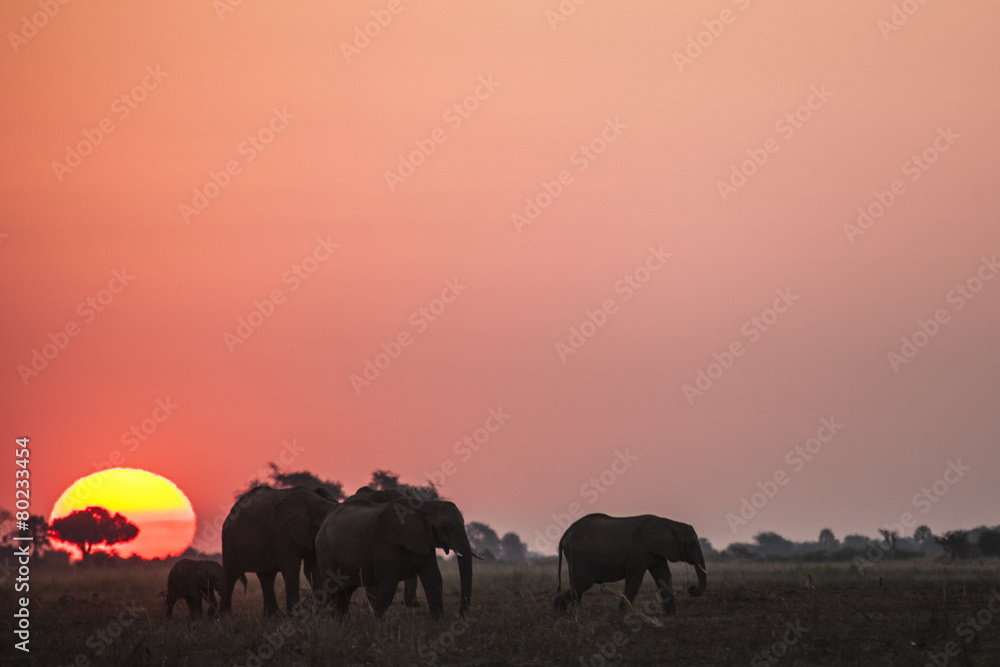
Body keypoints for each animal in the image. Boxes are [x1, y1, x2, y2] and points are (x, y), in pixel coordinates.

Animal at [220, 485, 339, 615]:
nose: (307, 602)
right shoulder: (282, 532)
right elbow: (291, 567)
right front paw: (294, 615)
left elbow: (313, 564)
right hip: (229, 538)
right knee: (231, 575)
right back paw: (225, 615)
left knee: (267, 576)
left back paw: (274, 616)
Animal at [314, 488, 481, 619]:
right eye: (444, 527)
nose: (461, 614)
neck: (423, 506)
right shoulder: (387, 542)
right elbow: (388, 581)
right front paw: (376, 625)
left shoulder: (423, 540)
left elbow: (433, 579)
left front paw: (439, 623)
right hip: (325, 548)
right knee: (330, 587)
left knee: (345, 590)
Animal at [554, 513, 707, 615]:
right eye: (692, 544)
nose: (692, 589)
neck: (669, 524)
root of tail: (564, 535)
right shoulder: (638, 552)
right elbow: (635, 580)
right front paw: (623, 613)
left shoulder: (655, 552)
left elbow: (664, 576)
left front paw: (671, 616)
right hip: (578, 555)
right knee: (583, 583)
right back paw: (560, 611)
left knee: (578, 585)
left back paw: (565, 612)